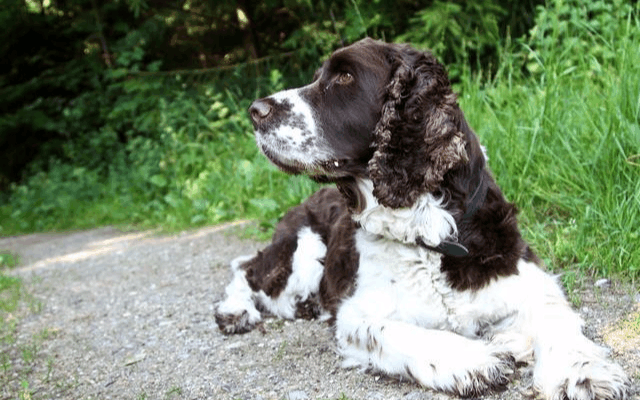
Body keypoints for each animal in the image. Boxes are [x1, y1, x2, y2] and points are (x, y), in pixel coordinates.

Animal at [216, 38, 632, 400]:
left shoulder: (530, 277)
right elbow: (397, 332)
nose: (255, 111)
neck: (428, 230)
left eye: (344, 77)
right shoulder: (356, 313)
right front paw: (471, 359)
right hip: (301, 253)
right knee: (249, 270)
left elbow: (557, 324)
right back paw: (234, 311)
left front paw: (582, 373)